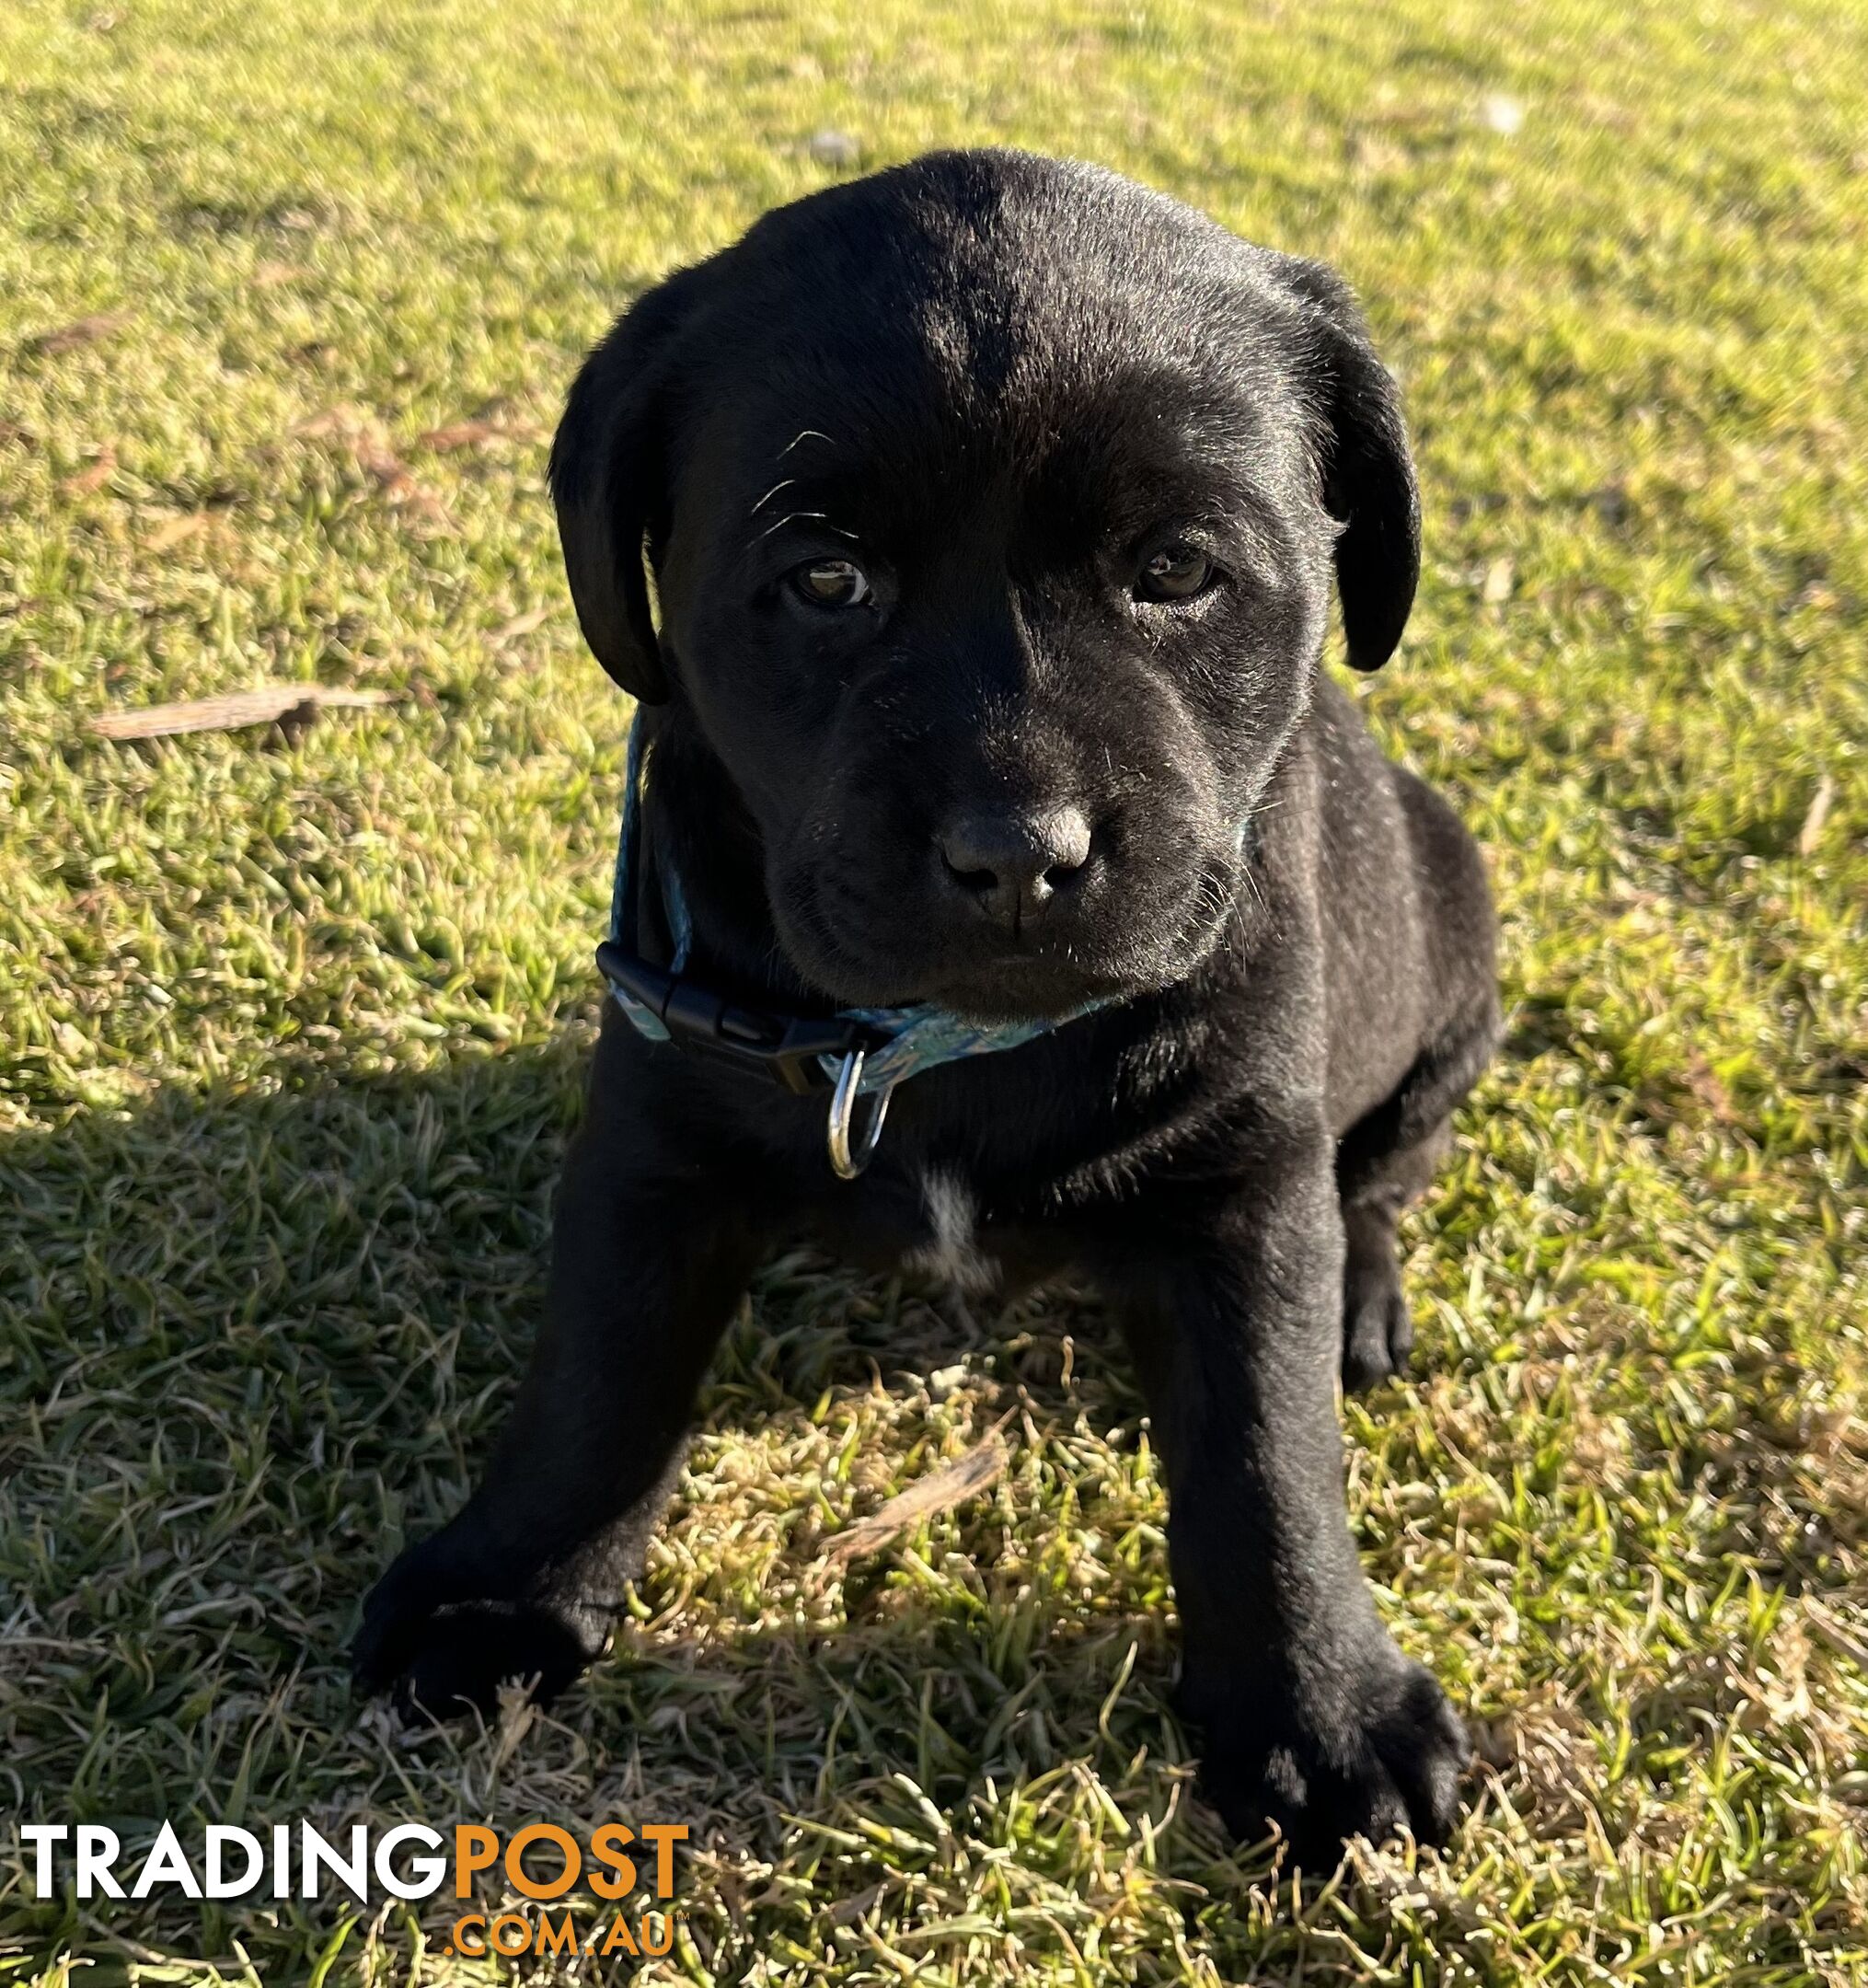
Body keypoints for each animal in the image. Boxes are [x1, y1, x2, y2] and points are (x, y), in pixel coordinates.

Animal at [357, 146, 1502, 1853]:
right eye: (825, 578)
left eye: (1178, 572)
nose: (1017, 851)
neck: (946, 1046)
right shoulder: (654, 1141)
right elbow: (598, 1383)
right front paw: (501, 1592)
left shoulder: (1242, 1186)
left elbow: (1267, 1455)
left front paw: (1322, 1708)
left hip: (1454, 945)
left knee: (1380, 1173)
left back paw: (1362, 1293)